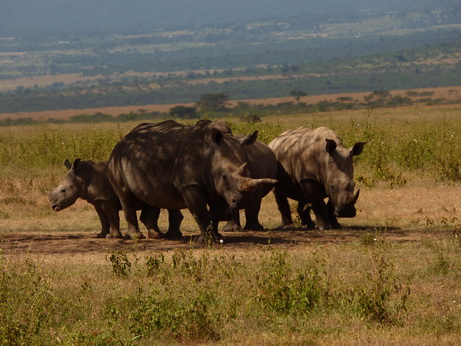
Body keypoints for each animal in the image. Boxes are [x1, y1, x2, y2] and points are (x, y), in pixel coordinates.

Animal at [48, 159, 181, 238]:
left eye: (63, 190)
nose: (53, 206)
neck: (82, 177)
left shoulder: (107, 199)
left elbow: (112, 217)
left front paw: (113, 236)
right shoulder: (98, 201)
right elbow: (103, 219)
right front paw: (101, 235)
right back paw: (172, 236)